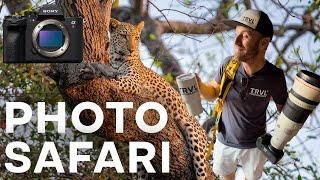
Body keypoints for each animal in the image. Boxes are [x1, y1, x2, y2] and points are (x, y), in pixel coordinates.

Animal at [80, 17, 214, 179]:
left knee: (202, 169)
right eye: (124, 36)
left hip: (195, 140)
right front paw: (95, 67)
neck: (117, 59)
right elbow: (108, 72)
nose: (131, 49)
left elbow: (113, 80)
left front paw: (95, 73)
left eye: (136, 38)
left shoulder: (133, 82)